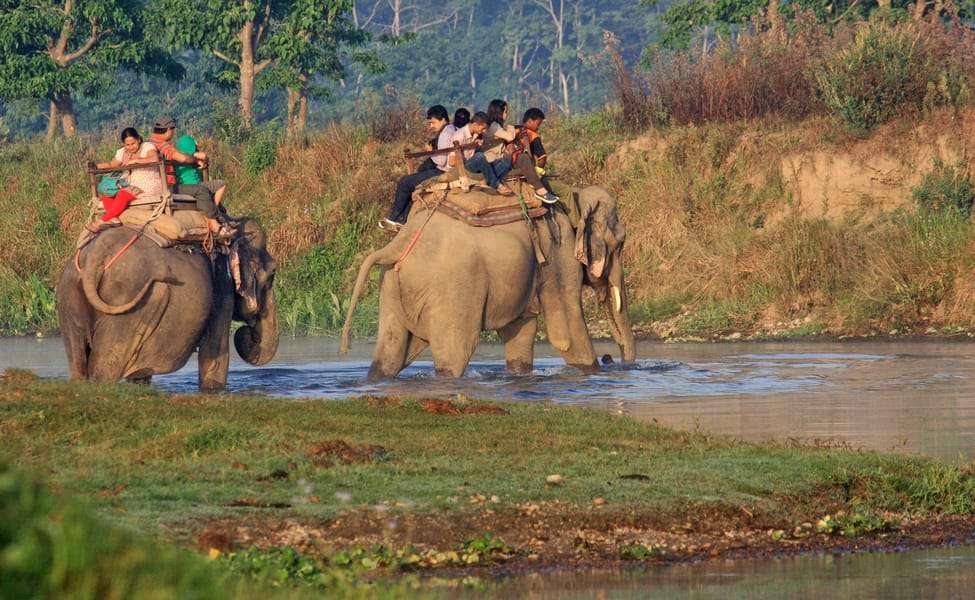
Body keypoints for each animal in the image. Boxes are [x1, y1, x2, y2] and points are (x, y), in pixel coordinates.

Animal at [56, 219, 279, 390]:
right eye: (273, 273)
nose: (249, 333)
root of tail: (96, 256)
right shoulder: (221, 287)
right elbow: (214, 355)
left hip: (68, 296)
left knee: (77, 363)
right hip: (126, 305)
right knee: (104, 368)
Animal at [339, 185, 635, 379]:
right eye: (620, 243)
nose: (612, 359)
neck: (572, 204)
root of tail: (398, 243)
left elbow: (520, 330)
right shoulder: (558, 255)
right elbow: (566, 334)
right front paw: (592, 372)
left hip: (391, 285)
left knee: (389, 354)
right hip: (454, 290)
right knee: (455, 353)